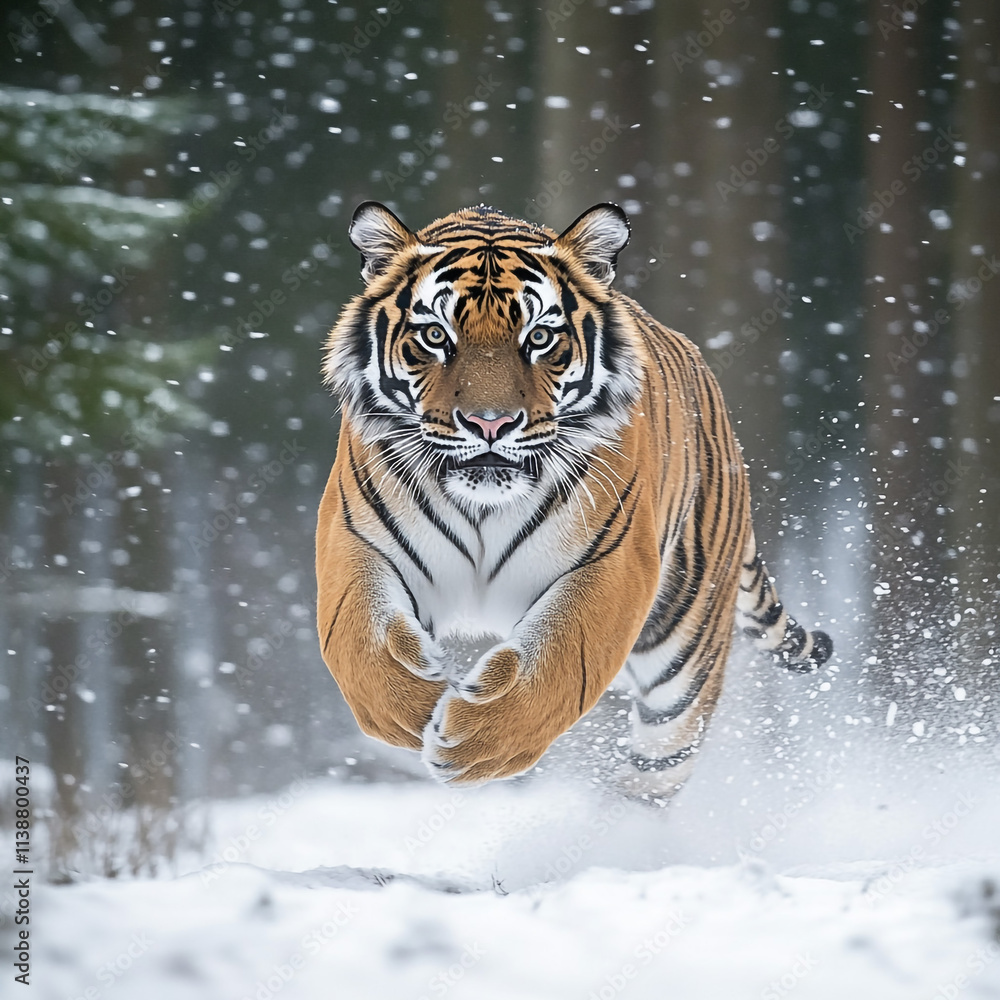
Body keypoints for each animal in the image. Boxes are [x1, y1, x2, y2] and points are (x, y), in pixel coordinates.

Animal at [315, 200, 832, 800]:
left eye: (539, 337)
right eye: (436, 336)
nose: (489, 424)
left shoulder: (612, 563)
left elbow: (558, 662)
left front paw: (473, 742)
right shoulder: (356, 537)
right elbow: (361, 639)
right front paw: (415, 706)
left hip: (682, 660)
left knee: (655, 766)